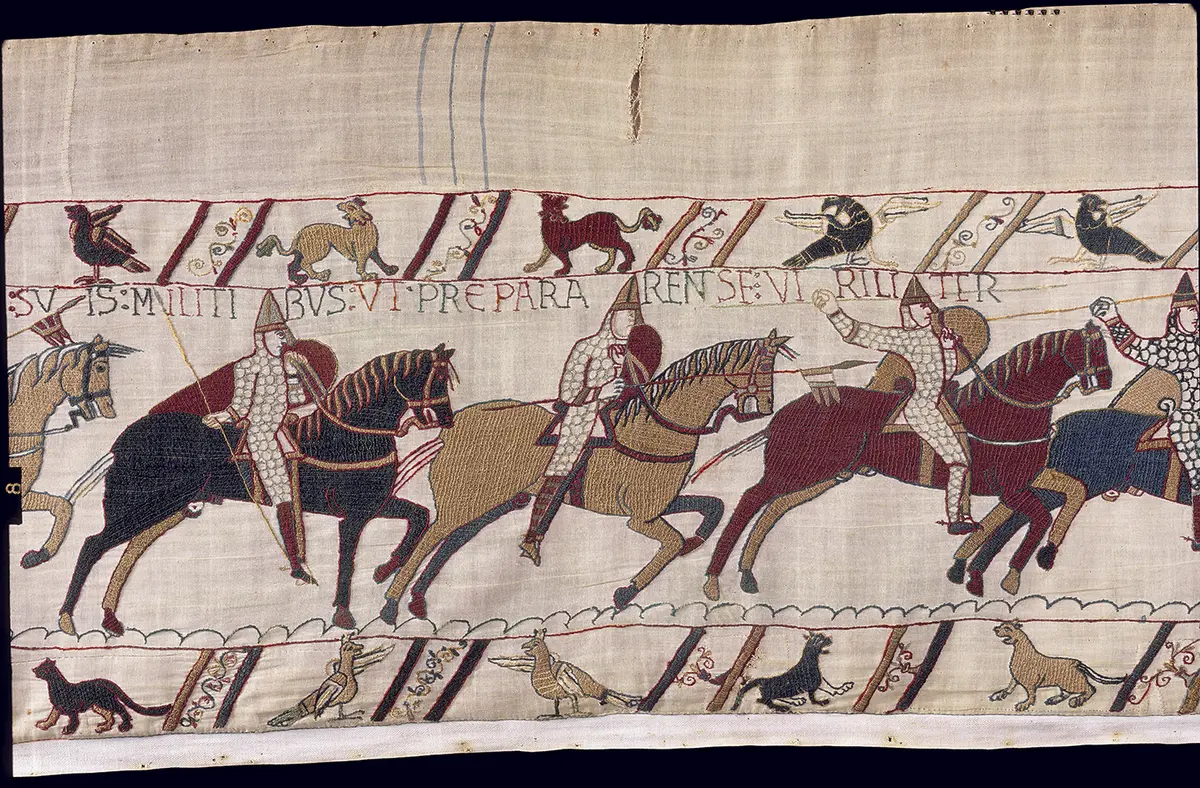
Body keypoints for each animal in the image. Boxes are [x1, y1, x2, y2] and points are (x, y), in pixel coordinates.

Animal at [56, 346, 457, 637]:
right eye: (433, 380)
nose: (446, 420)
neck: (348, 435)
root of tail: (123, 441)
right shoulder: (354, 516)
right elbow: (347, 560)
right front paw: (344, 612)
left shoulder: (375, 504)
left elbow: (419, 516)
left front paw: (385, 569)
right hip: (141, 507)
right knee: (93, 545)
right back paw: (66, 619)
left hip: (166, 510)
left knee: (130, 550)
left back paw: (109, 619)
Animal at [257, 198, 398, 284]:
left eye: (352, 206)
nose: (339, 204)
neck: (362, 227)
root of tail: (299, 235)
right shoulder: (361, 253)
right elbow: (361, 267)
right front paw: (366, 276)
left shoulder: (373, 250)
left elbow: (380, 261)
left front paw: (389, 270)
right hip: (319, 248)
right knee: (304, 264)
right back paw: (320, 275)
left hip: (301, 252)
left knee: (293, 265)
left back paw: (298, 279)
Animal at [372, 331, 793, 623]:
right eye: (762, 365)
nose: (766, 408)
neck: (657, 427)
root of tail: (455, 425)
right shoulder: (640, 518)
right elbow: (672, 542)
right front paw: (626, 593)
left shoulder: (661, 504)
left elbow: (713, 507)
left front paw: (694, 543)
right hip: (465, 498)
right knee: (433, 537)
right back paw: (391, 603)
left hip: (493, 500)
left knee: (452, 540)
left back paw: (416, 600)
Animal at [699, 322, 1112, 601]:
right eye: (1094, 350)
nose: (1106, 380)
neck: (1005, 410)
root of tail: (784, 412)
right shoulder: (1009, 488)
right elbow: (1036, 517)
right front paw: (1009, 574)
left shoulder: (1024, 481)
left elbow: (1074, 491)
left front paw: (1037, 556)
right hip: (796, 472)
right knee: (751, 501)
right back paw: (714, 579)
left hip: (821, 476)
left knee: (773, 509)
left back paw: (747, 575)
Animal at [990, 621, 1125, 711]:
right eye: (1001, 625)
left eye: (1008, 628)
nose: (995, 628)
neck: (1022, 654)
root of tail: (1076, 662)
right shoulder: (1015, 678)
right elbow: (1008, 688)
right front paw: (998, 695)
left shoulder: (1031, 683)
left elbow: (1031, 695)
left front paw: (1024, 704)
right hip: (1064, 682)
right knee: (1066, 693)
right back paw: (1055, 699)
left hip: (1072, 683)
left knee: (1091, 689)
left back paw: (1077, 700)